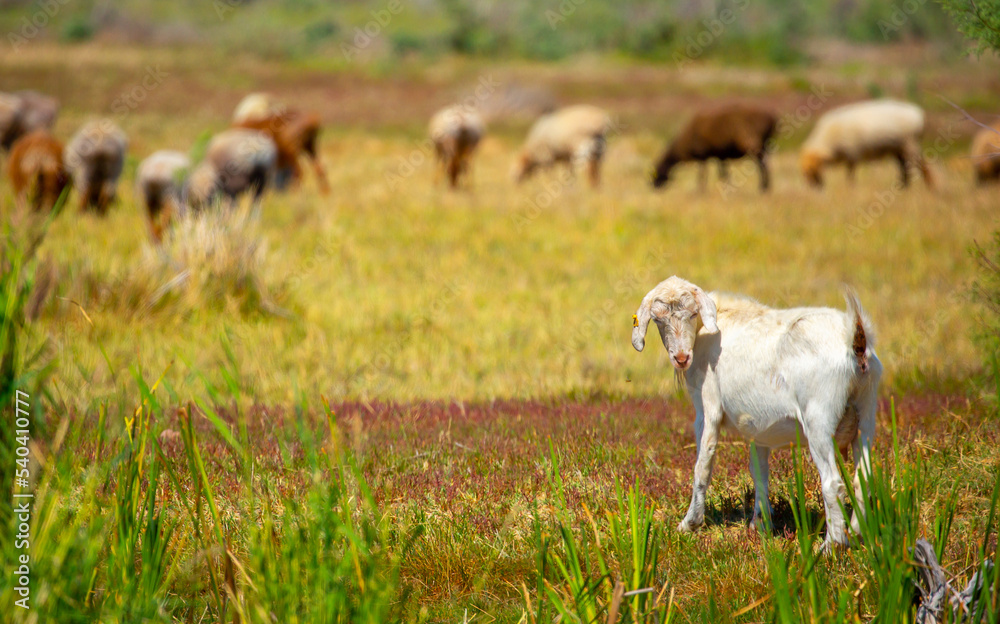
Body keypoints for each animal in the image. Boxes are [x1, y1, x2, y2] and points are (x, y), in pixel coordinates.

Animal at [631, 276, 881, 551]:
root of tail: (856, 339)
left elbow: (703, 464)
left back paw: (830, 547)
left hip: (819, 420)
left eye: (692, 313)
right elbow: (759, 470)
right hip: (866, 414)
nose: (681, 357)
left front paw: (689, 524)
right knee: (863, 478)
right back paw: (858, 535)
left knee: (832, 483)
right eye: (658, 319)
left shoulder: (706, 409)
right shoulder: (758, 426)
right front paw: (760, 525)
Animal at [800, 99, 932, 188]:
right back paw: (904, 188)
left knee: (920, 166)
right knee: (905, 168)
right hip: (899, 149)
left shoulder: (852, 155)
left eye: (811, 170)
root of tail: (918, 113)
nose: (816, 189)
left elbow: (850, 176)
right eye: (804, 173)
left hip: (910, 144)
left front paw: (851, 189)